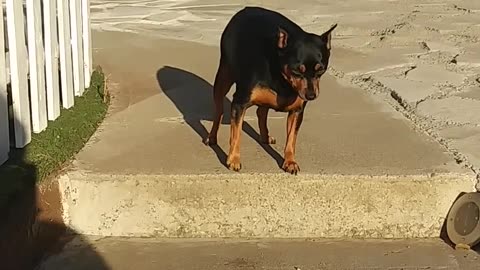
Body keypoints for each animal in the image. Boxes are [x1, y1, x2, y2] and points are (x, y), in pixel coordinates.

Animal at [205, 6, 338, 175]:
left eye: (320, 70)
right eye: (297, 71)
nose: (311, 95)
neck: (283, 80)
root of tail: (246, 8)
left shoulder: (297, 111)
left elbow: (291, 139)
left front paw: (290, 162)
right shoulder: (239, 103)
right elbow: (236, 135)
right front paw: (233, 160)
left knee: (261, 112)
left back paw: (265, 137)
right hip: (224, 77)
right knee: (219, 111)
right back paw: (212, 137)